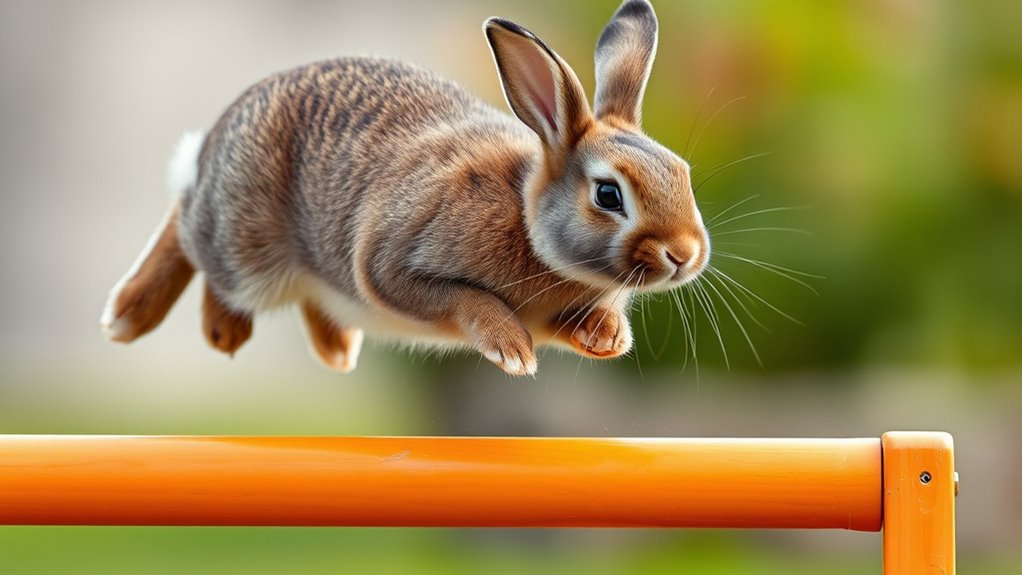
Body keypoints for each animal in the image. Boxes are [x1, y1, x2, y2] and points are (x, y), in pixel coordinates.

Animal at [100, 0, 709, 376]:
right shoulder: (393, 262)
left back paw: (336, 349)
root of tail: (215, 141)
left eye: (683, 172)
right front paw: (511, 350)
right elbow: (462, 297)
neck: (526, 216)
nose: (684, 254)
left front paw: (606, 338)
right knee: (190, 231)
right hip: (244, 245)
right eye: (608, 195)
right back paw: (175, 322)